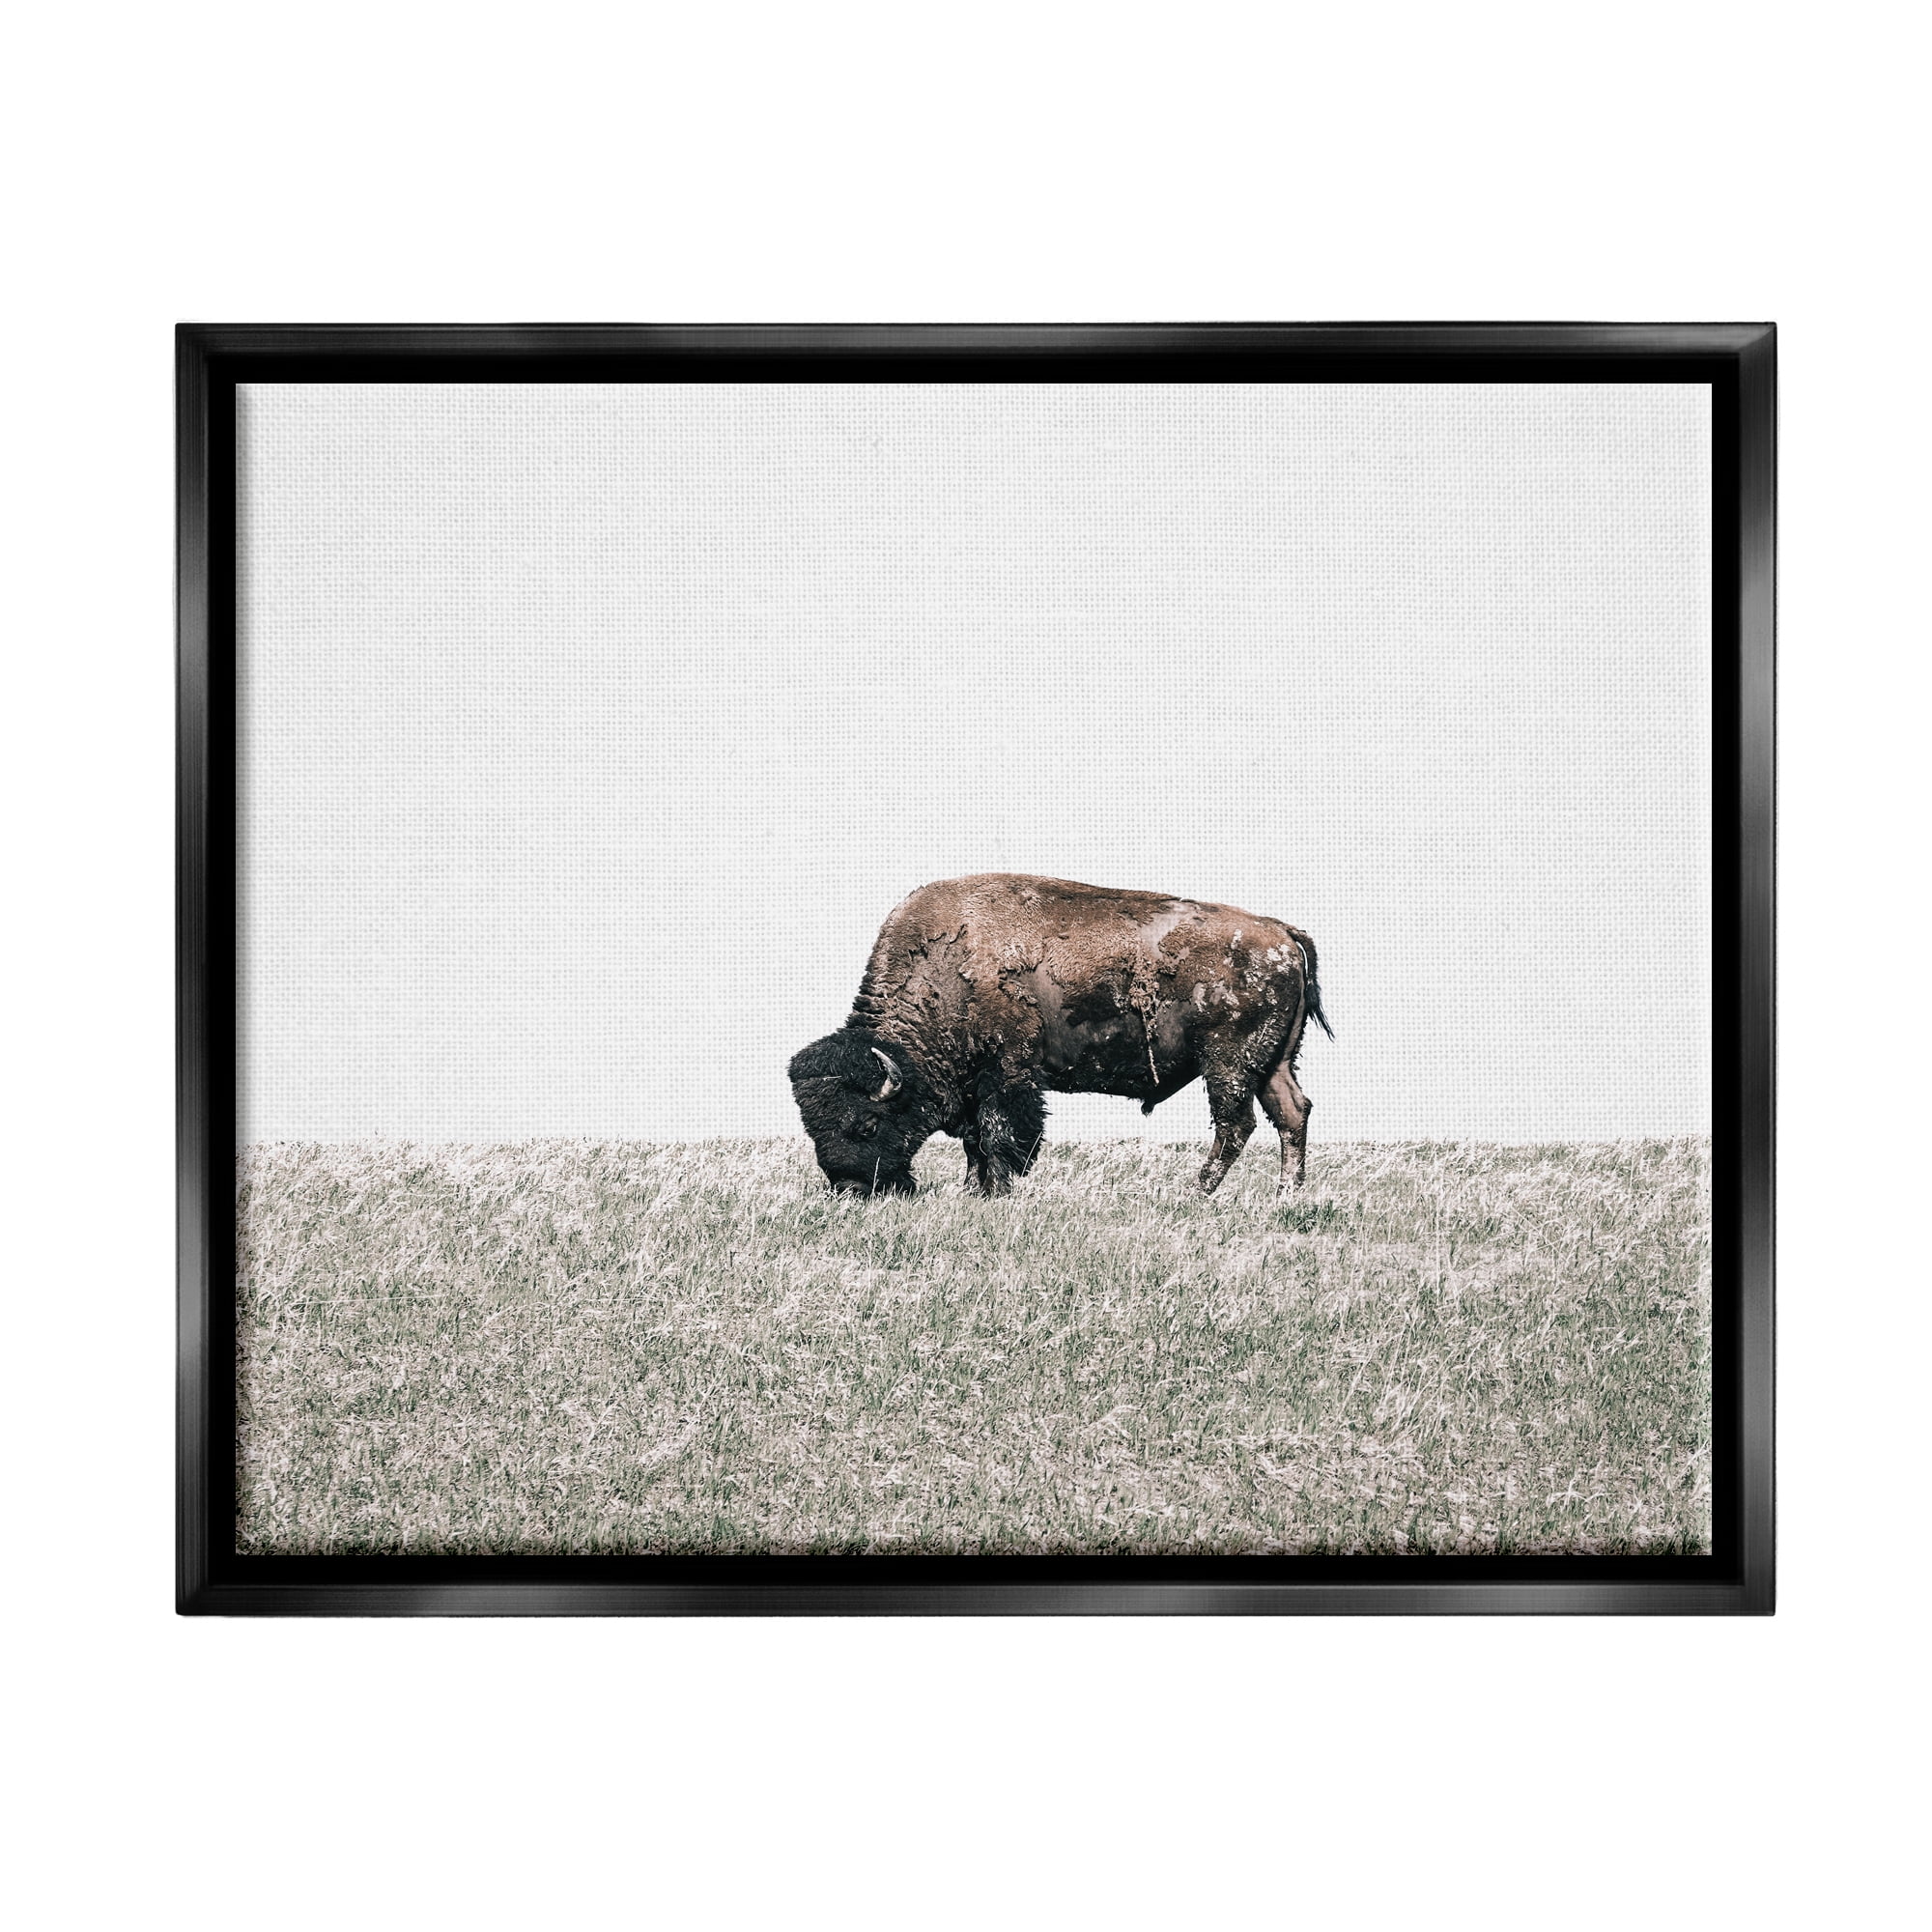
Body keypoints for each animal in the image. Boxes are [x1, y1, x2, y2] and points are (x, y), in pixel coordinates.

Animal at [788, 874, 1331, 1198]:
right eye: (813, 1129)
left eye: (866, 1125)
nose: (850, 1188)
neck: (944, 969)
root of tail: (1282, 933)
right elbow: (974, 1141)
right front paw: (973, 1190)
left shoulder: (1008, 1073)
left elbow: (999, 1134)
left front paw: (997, 1191)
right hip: (1274, 1062)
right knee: (1292, 1113)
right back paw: (1286, 1195)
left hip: (1228, 1063)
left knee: (1235, 1123)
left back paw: (1197, 1192)